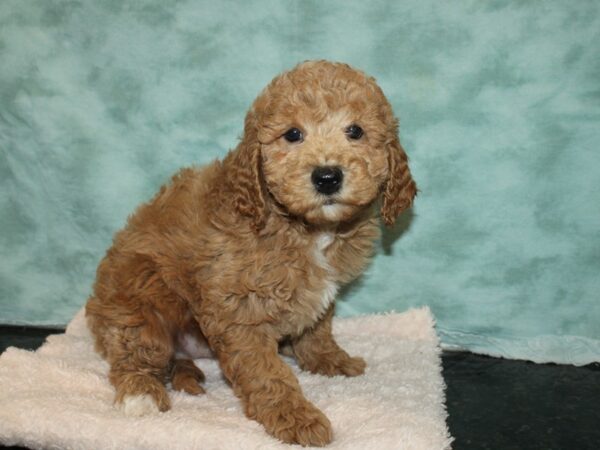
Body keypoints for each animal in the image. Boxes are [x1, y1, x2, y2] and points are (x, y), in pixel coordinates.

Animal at [86, 60, 418, 446]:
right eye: (292, 134)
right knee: (135, 353)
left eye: (355, 131)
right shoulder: (238, 310)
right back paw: (141, 393)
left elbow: (317, 329)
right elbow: (265, 371)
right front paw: (295, 416)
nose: (327, 177)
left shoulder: (318, 292)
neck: (305, 228)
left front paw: (329, 360)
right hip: (140, 301)